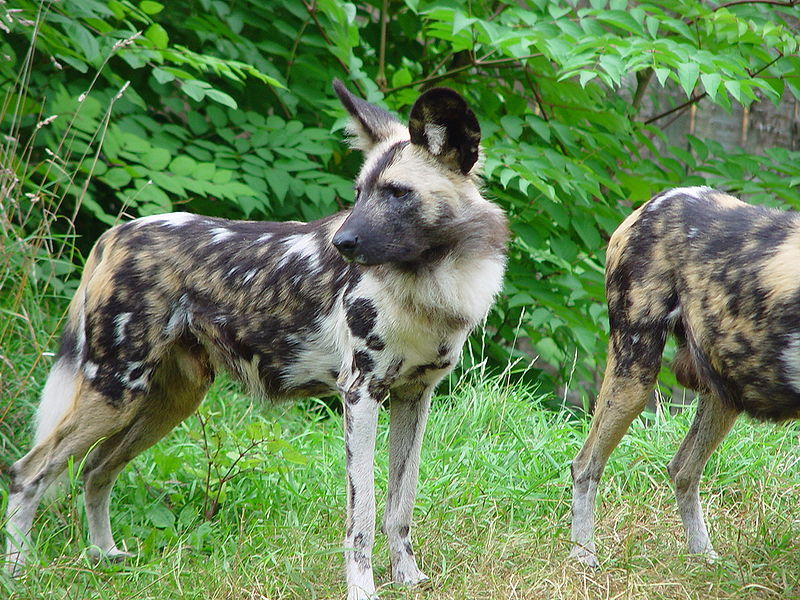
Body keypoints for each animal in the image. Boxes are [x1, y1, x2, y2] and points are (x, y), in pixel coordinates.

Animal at [4, 81, 506, 600]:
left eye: (397, 193)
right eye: (359, 193)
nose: (341, 243)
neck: (429, 277)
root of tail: (116, 234)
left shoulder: (414, 397)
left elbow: (399, 505)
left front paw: (408, 579)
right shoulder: (360, 396)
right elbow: (362, 517)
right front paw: (364, 590)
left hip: (168, 400)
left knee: (96, 469)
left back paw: (106, 557)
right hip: (114, 390)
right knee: (28, 472)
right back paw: (18, 570)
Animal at [572, 186, 800, 568]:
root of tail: (658, 200)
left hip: (724, 389)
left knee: (682, 470)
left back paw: (703, 556)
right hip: (635, 377)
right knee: (586, 466)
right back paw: (584, 554)